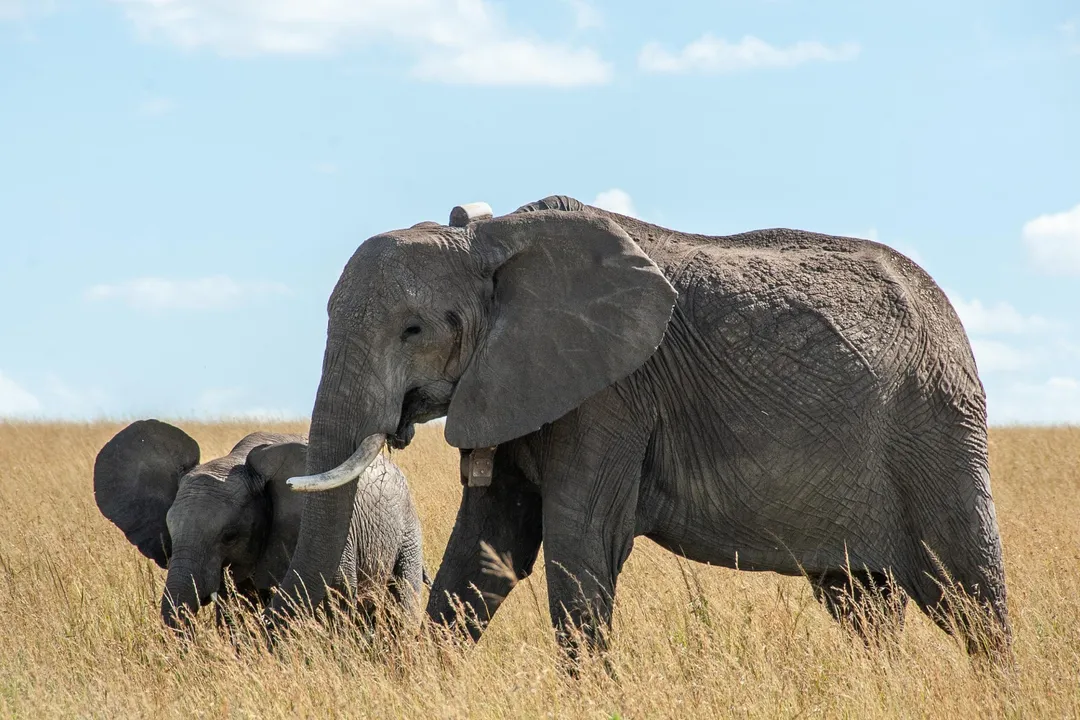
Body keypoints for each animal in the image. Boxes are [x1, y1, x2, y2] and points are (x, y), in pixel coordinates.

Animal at [93, 419, 427, 631]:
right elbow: (235, 612)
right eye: (170, 538)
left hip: (408, 529)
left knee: (401, 599)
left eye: (229, 536)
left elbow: (335, 596)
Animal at [268, 194, 1010, 666]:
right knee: (863, 604)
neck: (496, 237)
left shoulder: (612, 394)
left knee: (970, 594)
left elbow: (580, 540)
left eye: (414, 330)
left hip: (935, 421)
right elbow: (485, 549)